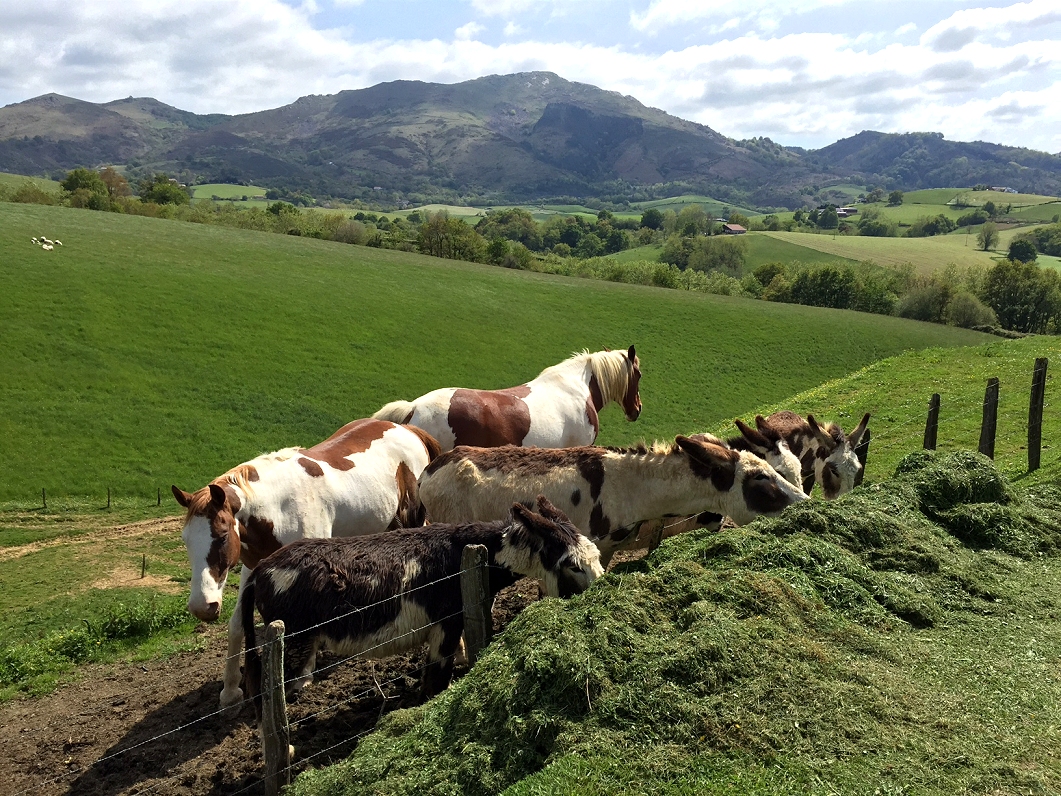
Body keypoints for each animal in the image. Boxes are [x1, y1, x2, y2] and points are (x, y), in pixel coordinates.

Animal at [171, 420, 441, 708]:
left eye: (222, 536)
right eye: (186, 539)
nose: (202, 607)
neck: (277, 510)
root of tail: (407, 429)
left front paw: (303, 677)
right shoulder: (251, 569)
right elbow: (236, 626)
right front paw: (230, 691)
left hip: (414, 518)